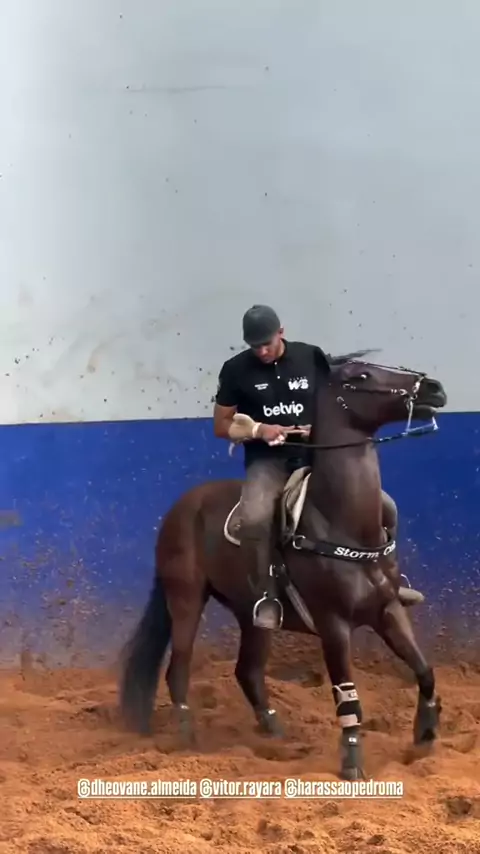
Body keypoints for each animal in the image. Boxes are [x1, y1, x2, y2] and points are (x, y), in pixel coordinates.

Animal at [119, 350, 447, 780]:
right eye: (360, 376)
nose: (434, 388)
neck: (339, 521)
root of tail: (181, 508)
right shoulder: (333, 624)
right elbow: (348, 697)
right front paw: (352, 764)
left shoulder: (387, 609)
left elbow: (424, 670)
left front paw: (425, 733)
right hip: (186, 599)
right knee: (179, 669)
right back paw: (188, 739)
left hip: (252, 615)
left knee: (248, 671)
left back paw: (276, 733)